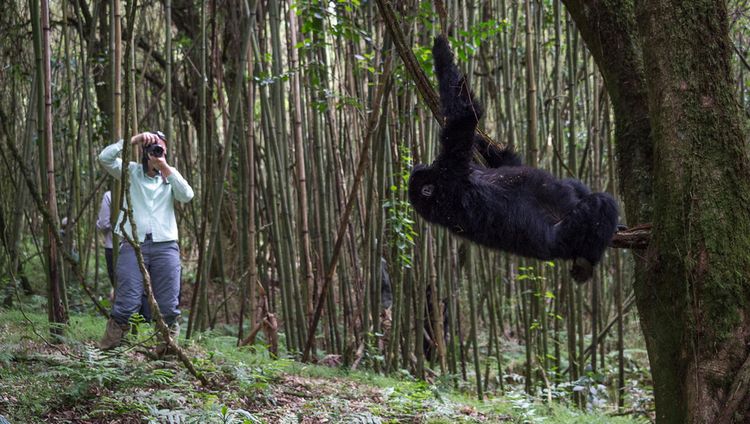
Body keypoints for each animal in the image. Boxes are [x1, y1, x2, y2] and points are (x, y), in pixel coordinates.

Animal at [408, 35, 620, 282]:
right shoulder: (448, 172)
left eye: (427, 165)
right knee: (600, 205)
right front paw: (441, 49)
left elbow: (505, 160)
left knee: (572, 185)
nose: (426, 162)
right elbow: (464, 116)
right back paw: (585, 262)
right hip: (567, 236)